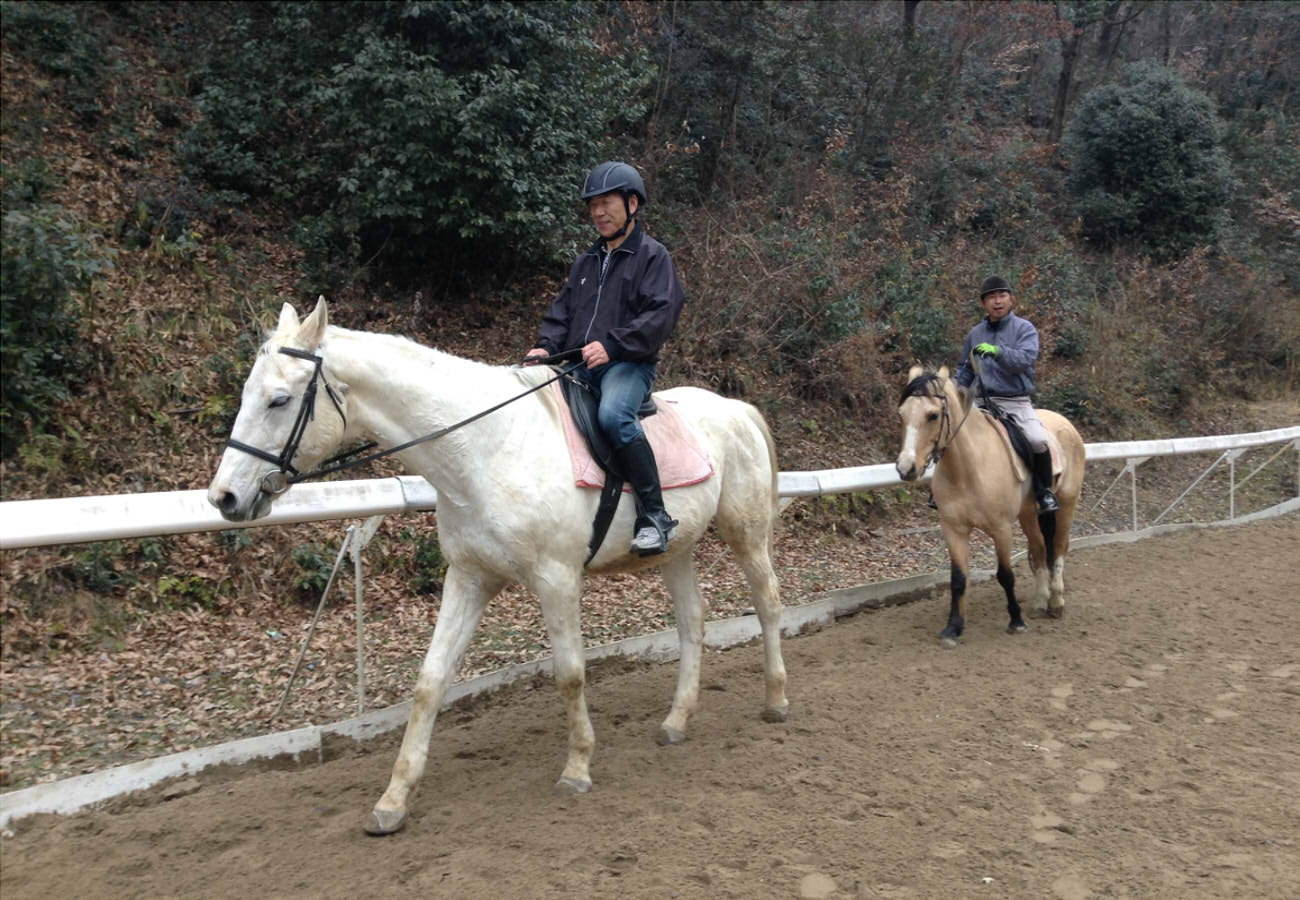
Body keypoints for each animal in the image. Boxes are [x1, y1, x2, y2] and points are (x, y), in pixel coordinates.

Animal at [207, 298, 789, 835]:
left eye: (279, 400)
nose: (224, 498)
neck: (483, 450)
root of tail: (735, 408)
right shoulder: (468, 578)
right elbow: (430, 681)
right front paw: (393, 801)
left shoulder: (557, 579)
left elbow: (570, 674)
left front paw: (577, 768)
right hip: (676, 550)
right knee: (693, 621)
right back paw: (676, 721)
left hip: (744, 533)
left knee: (767, 604)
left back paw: (776, 701)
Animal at [893, 364, 1085, 648]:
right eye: (902, 414)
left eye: (932, 415)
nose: (906, 468)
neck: (968, 468)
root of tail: (1065, 424)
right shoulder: (953, 529)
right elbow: (958, 579)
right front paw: (953, 628)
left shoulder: (1001, 528)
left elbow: (1005, 574)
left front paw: (1016, 621)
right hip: (1028, 513)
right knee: (1040, 549)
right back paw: (1040, 603)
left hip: (1068, 504)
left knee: (1059, 548)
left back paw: (1056, 602)